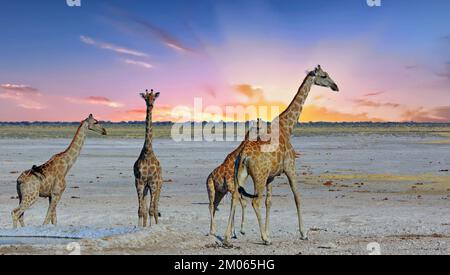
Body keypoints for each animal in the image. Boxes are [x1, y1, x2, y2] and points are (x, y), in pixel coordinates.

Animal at [223, 64, 340, 246]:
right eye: (324, 75)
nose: (336, 86)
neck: (287, 126)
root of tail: (243, 155)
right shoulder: (290, 167)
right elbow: (297, 197)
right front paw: (303, 233)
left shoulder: (272, 176)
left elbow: (269, 202)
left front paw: (269, 232)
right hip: (259, 176)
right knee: (254, 200)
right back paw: (264, 239)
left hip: (241, 174)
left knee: (236, 197)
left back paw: (228, 238)